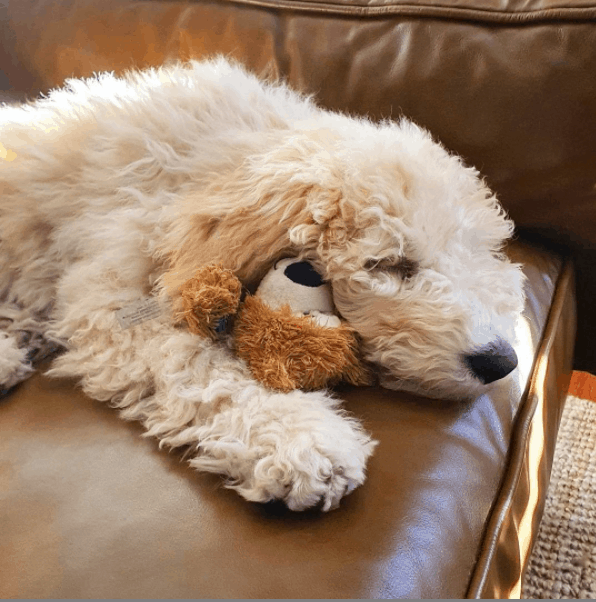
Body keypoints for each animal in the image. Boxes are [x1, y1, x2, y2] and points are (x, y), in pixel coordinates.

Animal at [0, 56, 520, 508]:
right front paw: (302, 440)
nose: (502, 362)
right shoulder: (110, 300)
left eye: (482, 254)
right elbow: (196, 364)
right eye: (389, 264)